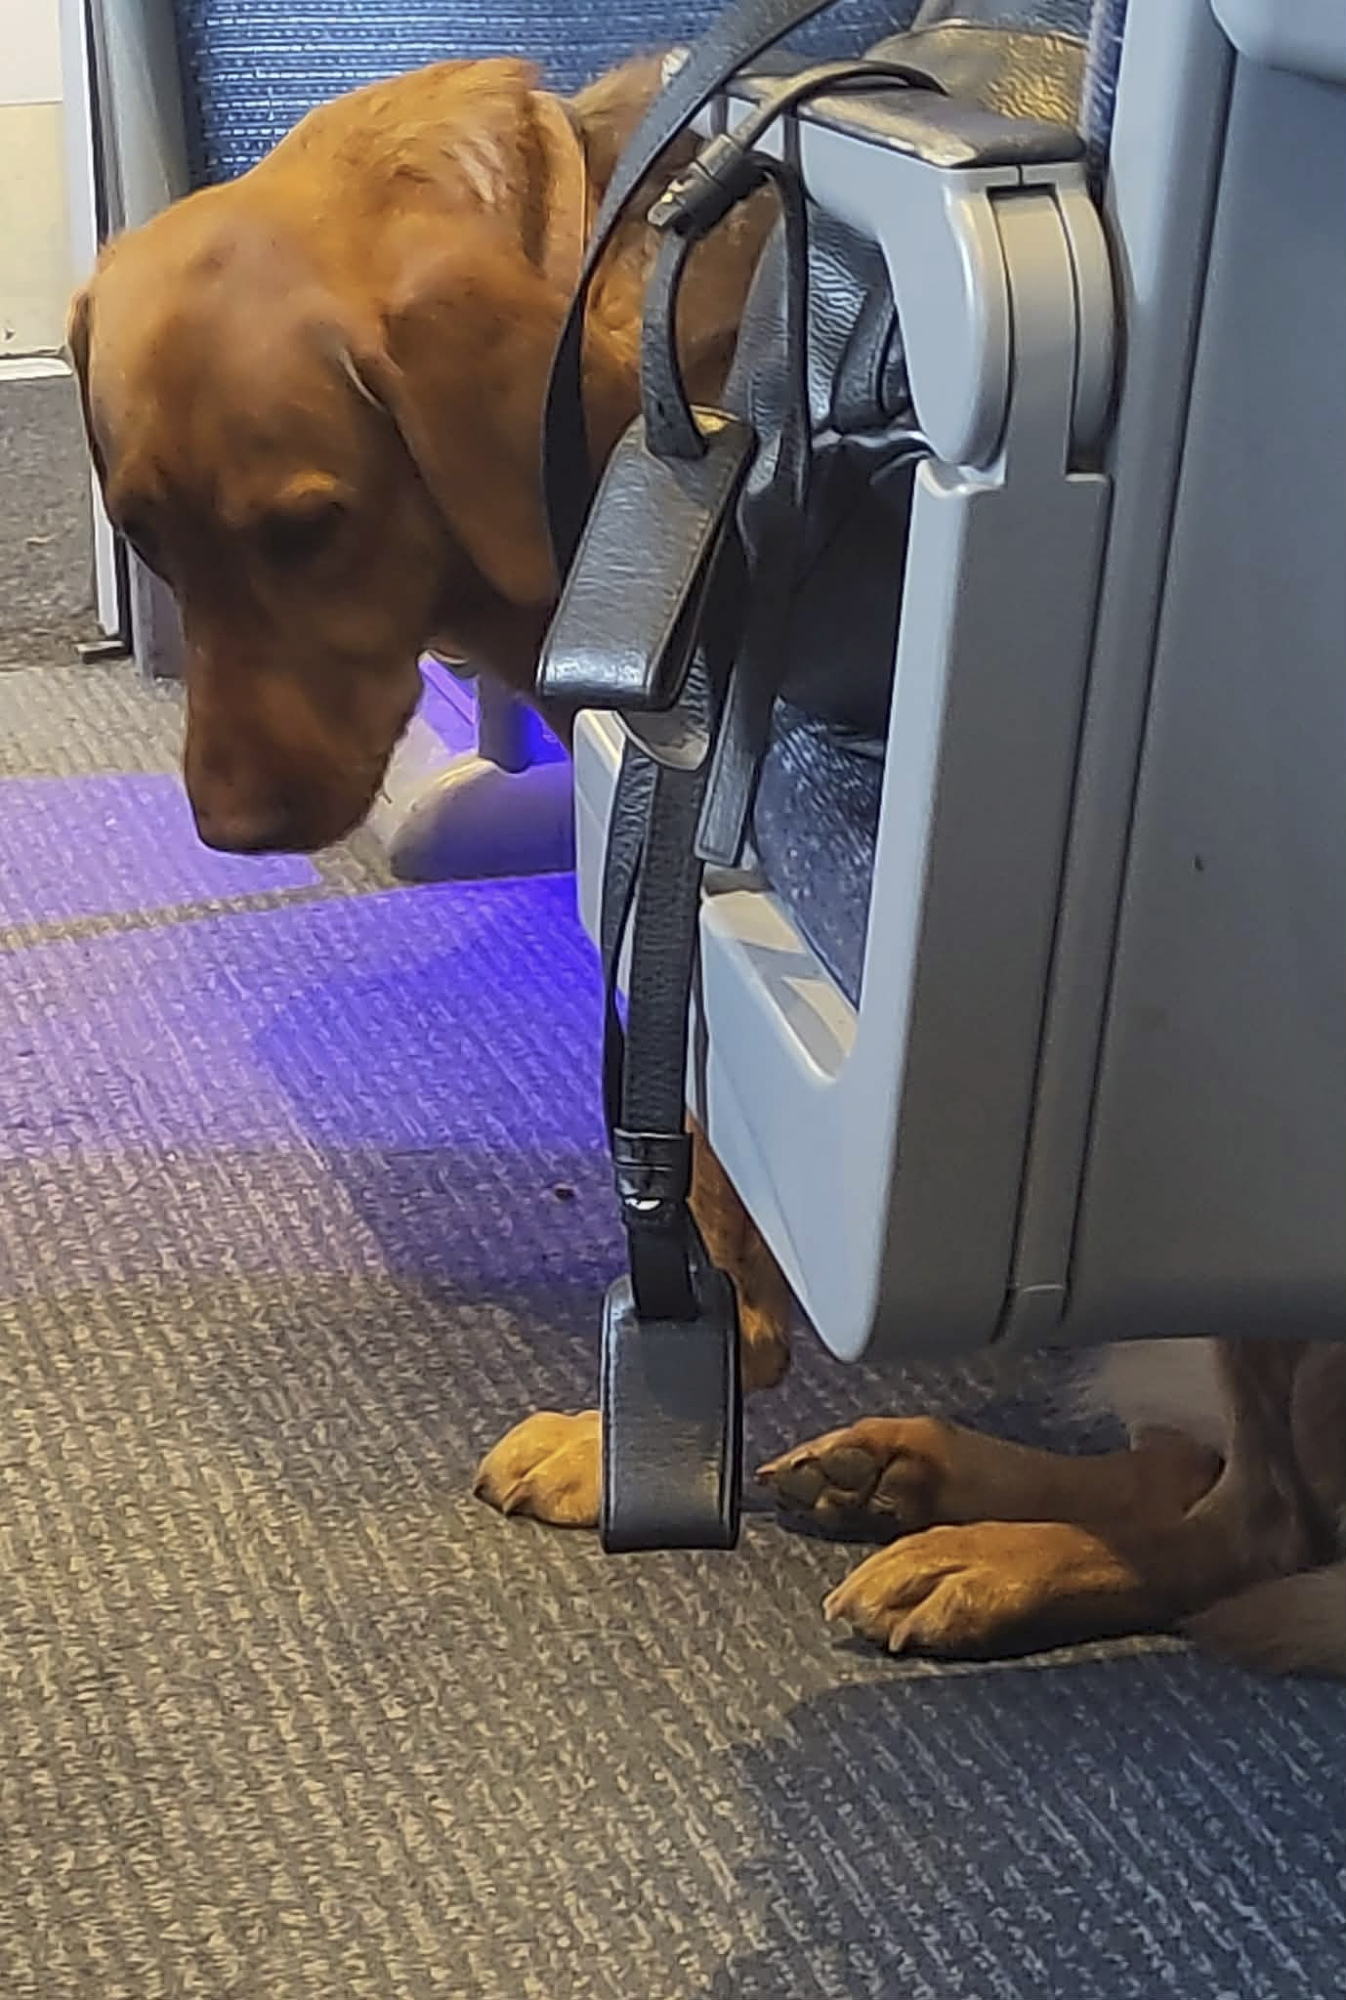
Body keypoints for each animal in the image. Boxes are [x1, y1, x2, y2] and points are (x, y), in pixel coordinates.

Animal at [71, 57, 1346, 1679]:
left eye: (307, 528)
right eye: (146, 536)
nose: (227, 832)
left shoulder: (687, 829)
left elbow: (694, 1147)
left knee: (1264, 1523)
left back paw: (1001, 1557)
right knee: (1195, 1471)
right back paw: (912, 1470)